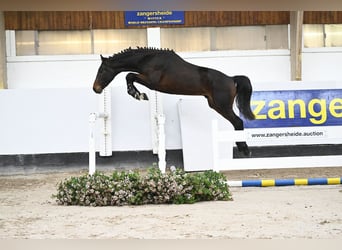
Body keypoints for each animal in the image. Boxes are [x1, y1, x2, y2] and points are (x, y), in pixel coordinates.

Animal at [92, 47, 255, 156]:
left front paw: (139, 95)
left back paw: (244, 149)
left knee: (238, 122)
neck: (148, 59)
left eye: (101, 71)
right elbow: (130, 76)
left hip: (222, 106)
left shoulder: (151, 82)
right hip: (214, 105)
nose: (95, 89)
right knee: (236, 122)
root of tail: (231, 79)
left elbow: (130, 76)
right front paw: (138, 94)